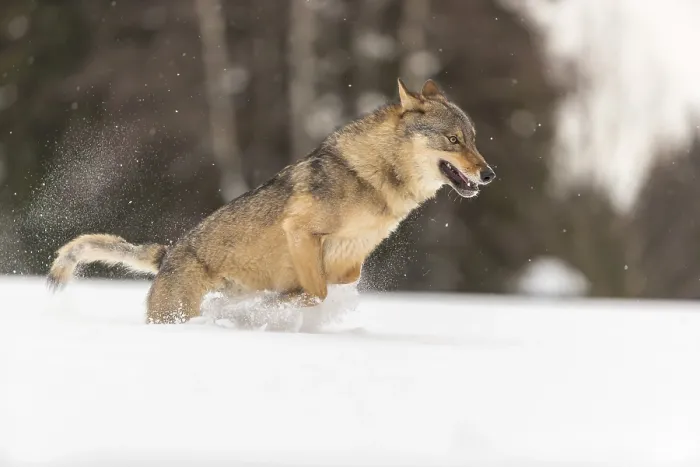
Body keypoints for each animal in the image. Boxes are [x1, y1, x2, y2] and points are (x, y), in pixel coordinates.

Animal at [47, 79, 496, 324]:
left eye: (474, 140)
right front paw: (273, 305)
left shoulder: (350, 260)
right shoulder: (299, 231)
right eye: (453, 140)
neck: (374, 179)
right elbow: (317, 292)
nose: (489, 174)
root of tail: (168, 254)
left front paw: (273, 303)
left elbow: (336, 284)